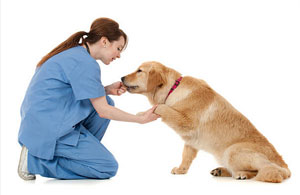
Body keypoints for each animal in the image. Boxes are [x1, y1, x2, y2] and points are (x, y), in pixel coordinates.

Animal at [121, 61, 290, 183]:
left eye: (139, 71)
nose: (121, 78)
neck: (173, 89)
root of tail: (284, 165)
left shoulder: (187, 122)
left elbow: (162, 107)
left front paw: (145, 112)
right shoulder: (191, 139)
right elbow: (186, 155)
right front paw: (181, 170)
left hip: (232, 150)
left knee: (268, 171)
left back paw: (243, 174)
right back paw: (220, 170)